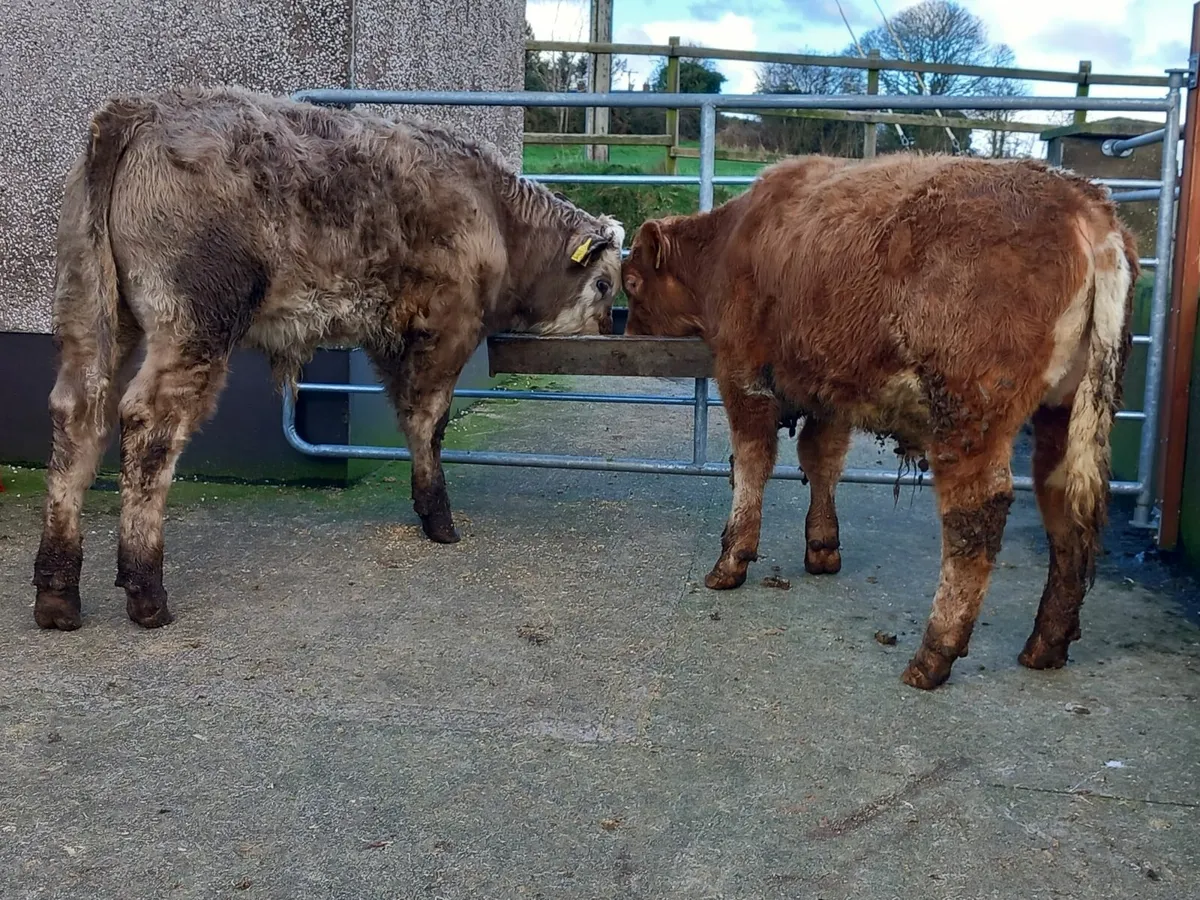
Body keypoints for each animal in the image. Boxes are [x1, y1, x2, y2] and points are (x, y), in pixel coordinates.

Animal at [32, 85, 625, 632]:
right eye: (604, 284)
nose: (606, 329)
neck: (497, 214)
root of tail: (142, 109)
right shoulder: (448, 327)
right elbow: (430, 420)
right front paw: (440, 518)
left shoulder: (392, 340)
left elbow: (409, 417)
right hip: (194, 323)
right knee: (151, 426)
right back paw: (146, 591)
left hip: (92, 312)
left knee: (78, 415)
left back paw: (58, 592)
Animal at [620, 153, 1138, 689]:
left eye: (632, 284)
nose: (628, 334)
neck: (734, 239)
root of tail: (1082, 203)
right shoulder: (828, 389)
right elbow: (822, 459)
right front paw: (822, 546)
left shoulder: (744, 376)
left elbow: (752, 464)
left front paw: (732, 558)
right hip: (1063, 414)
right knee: (1063, 509)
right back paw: (1046, 645)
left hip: (969, 414)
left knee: (976, 517)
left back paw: (934, 654)